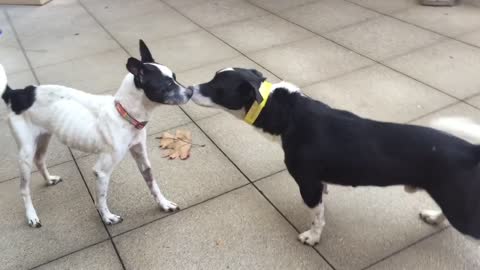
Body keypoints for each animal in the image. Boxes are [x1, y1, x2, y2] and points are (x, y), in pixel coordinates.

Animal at [0, 39, 191, 227]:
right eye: (167, 84)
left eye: (174, 78)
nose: (190, 92)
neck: (122, 113)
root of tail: (17, 94)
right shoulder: (101, 172)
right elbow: (101, 198)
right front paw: (107, 217)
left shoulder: (141, 157)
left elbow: (153, 184)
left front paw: (163, 204)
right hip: (25, 153)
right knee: (23, 189)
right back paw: (31, 215)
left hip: (43, 138)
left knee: (39, 160)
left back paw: (49, 180)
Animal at [189, 68, 480, 246]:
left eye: (216, 87)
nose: (189, 89)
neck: (289, 114)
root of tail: (471, 150)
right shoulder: (317, 183)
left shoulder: (308, 184)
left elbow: (317, 216)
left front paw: (313, 236)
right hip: (454, 201)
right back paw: (434, 217)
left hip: (461, 209)